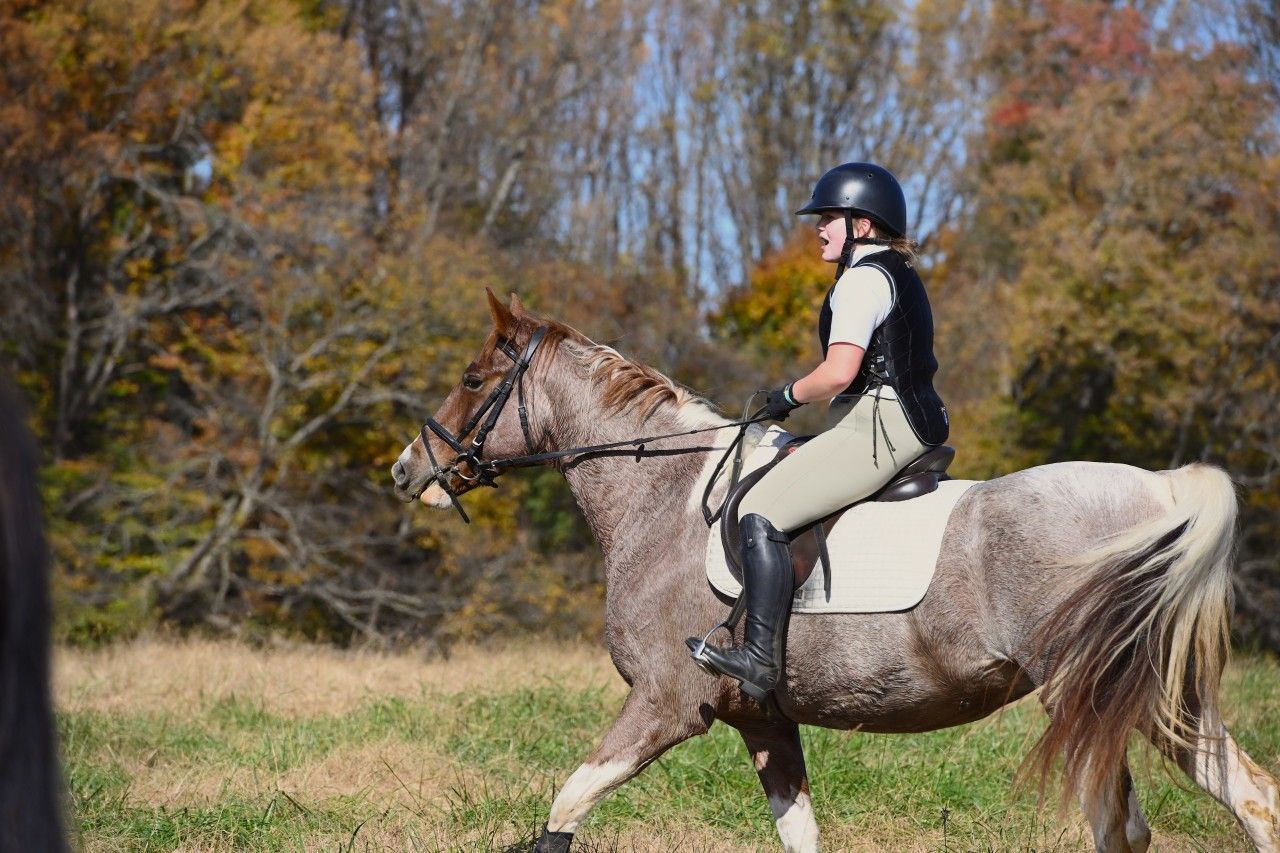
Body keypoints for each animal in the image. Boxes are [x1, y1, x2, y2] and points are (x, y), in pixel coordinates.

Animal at [391, 290, 1279, 853]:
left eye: (473, 380)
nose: (407, 469)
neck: (662, 495)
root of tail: (1161, 489)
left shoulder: (664, 703)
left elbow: (568, 799)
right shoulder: (763, 720)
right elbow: (799, 831)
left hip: (1088, 692)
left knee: (1127, 825)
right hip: (1151, 694)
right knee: (1248, 796)